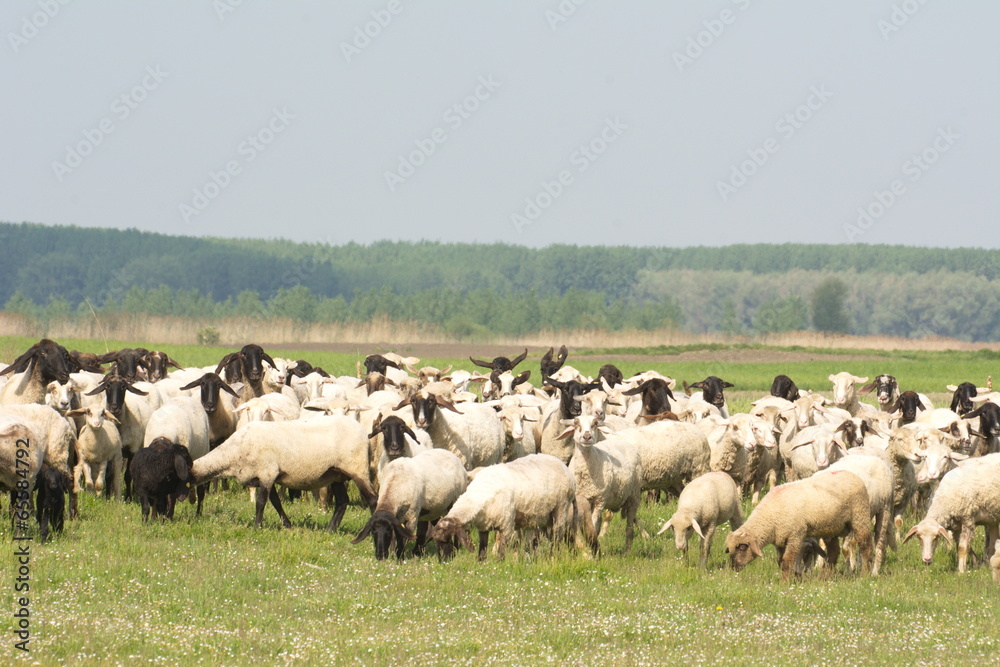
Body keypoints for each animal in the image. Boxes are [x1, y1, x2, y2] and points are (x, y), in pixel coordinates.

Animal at [191, 416, 376, 530]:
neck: (234, 451)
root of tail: (364, 433)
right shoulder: (265, 476)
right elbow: (275, 502)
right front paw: (287, 525)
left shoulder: (267, 472)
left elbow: (261, 502)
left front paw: (257, 527)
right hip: (335, 473)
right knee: (342, 501)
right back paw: (330, 530)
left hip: (357, 468)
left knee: (372, 499)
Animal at [428, 453, 577, 561]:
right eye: (435, 540)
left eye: (447, 539)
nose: (443, 561)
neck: (479, 495)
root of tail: (563, 465)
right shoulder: (483, 528)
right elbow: (482, 551)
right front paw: (481, 564)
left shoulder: (506, 526)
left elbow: (500, 553)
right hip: (541, 517)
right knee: (538, 540)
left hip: (561, 508)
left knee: (557, 538)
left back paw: (553, 558)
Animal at [724, 470, 873, 581]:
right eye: (729, 549)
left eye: (742, 547)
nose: (734, 567)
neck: (769, 517)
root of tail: (852, 474)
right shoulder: (780, 539)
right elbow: (781, 562)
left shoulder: (795, 535)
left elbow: (787, 561)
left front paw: (785, 583)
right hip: (830, 527)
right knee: (833, 551)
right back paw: (823, 577)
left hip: (860, 515)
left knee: (865, 547)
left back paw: (865, 575)